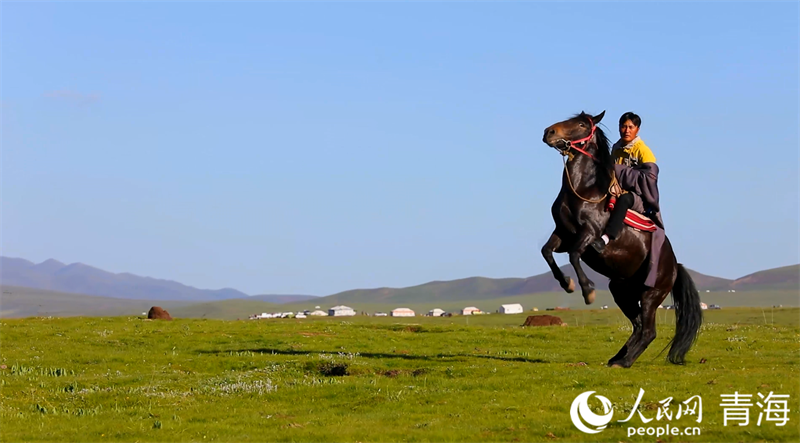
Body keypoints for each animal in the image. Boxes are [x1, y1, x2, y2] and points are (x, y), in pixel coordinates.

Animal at [536, 111, 700, 368]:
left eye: (581, 124)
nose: (549, 132)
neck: (583, 191)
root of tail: (674, 266)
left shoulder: (588, 233)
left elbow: (574, 255)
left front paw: (587, 290)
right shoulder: (562, 233)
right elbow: (546, 251)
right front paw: (567, 283)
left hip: (651, 294)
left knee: (648, 331)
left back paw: (625, 361)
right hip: (621, 290)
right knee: (638, 326)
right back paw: (617, 357)